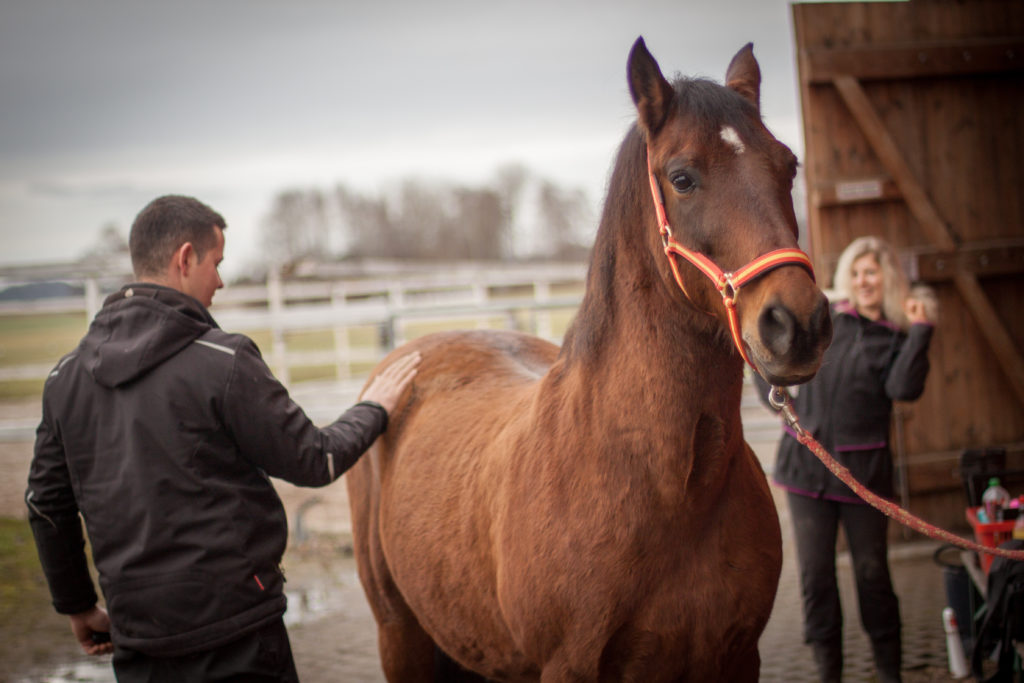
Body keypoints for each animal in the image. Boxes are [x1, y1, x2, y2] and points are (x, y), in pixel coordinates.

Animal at [350, 38, 831, 683]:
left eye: (789, 166)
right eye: (682, 177)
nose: (797, 325)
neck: (668, 486)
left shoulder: (735, 658)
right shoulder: (568, 666)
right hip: (399, 636)